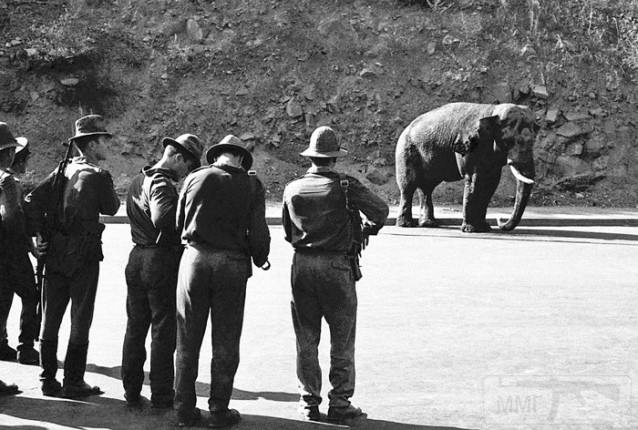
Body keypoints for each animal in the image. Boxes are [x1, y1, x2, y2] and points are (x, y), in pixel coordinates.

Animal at [398, 101, 536, 232]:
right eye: (508, 141)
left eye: (533, 141)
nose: (500, 220)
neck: (493, 110)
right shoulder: (469, 145)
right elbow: (475, 180)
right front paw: (470, 229)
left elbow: (491, 183)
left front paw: (484, 228)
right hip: (406, 151)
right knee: (408, 186)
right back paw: (406, 224)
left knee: (427, 187)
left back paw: (428, 224)